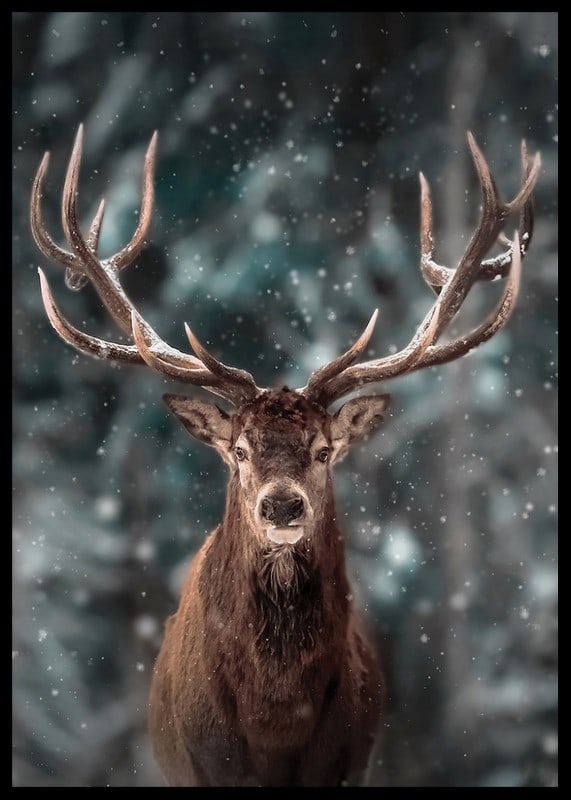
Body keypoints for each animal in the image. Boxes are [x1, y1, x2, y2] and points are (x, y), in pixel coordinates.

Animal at [30, 125, 540, 787]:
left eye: (323, 451)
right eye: (240, 450)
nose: (281, 507)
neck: (275, 724)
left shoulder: (348, 763)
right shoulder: (204, 766)